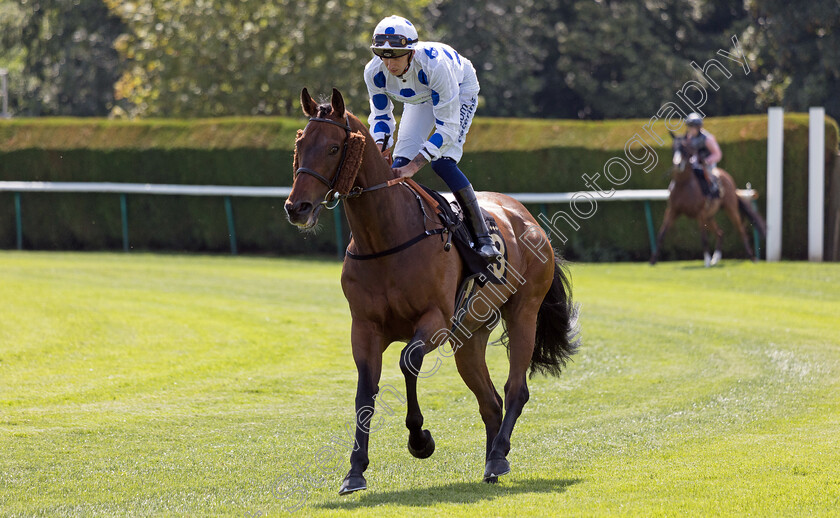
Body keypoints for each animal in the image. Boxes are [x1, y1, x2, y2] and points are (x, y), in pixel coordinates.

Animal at [286, 88, 580, 496]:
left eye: (332, 147)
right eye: (300, 144)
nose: (297, 207)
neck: (387, 237)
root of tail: (528, 218)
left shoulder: (435, 322)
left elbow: (408, 361)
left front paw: (420, 440)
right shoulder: (364, 328)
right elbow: (365, 391)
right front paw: (355, 470)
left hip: (523, 313)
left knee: (515, 389)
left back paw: (499, 455)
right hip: (469, 336)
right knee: (490, 401)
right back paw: (490, 463)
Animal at [648, 134, 768, 268]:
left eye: (684, 149)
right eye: (673, 148)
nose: (678, 164)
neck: (683, 184)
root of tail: (727, 176)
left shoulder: (700, 213)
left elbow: (704, 238)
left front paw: (706, 261)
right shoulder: (672, 211)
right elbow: (661, 234)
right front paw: (653, 260)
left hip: (730, 208)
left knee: (740, 230)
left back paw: (751, 257)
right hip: (709, 216)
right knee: (720, 233)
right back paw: (715, 258)